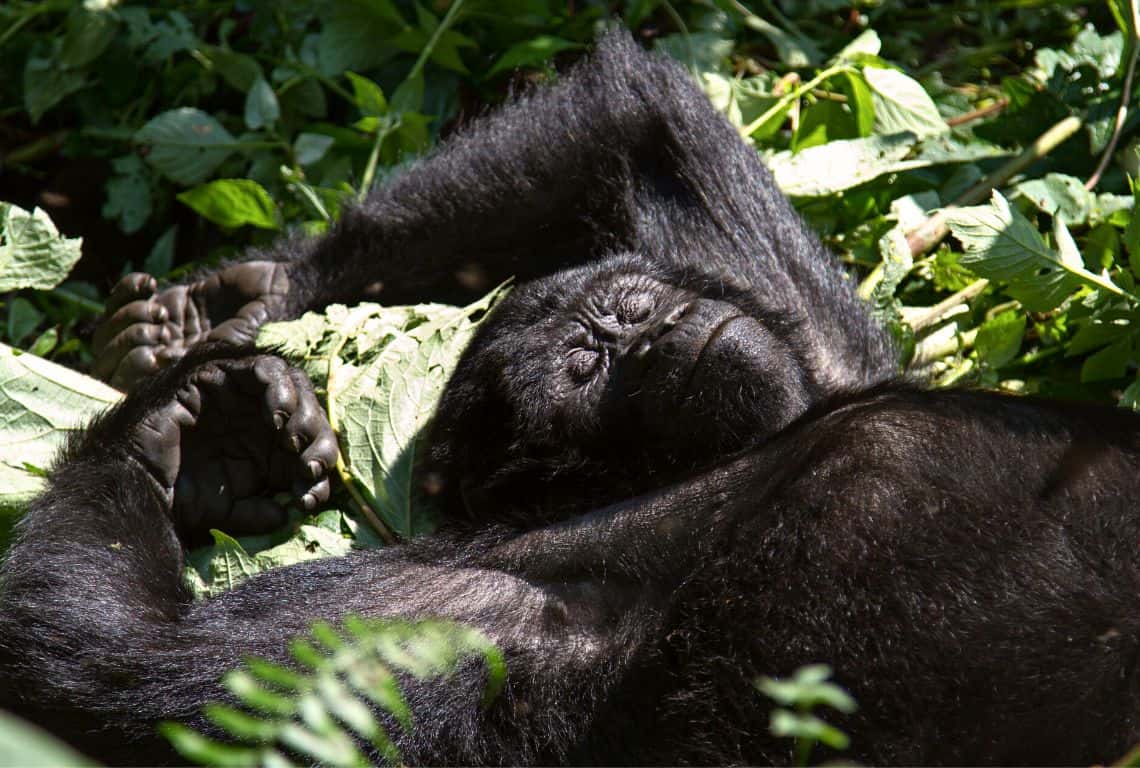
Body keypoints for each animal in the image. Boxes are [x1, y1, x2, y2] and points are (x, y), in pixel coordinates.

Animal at [2, 31, 1140, 765]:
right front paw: (179, 433)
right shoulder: (500, 600)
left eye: (627, 305)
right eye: (587, 371)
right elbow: (138, 671)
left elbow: (636, 122)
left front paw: (256, 299)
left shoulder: (811, 342)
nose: (651, 332)